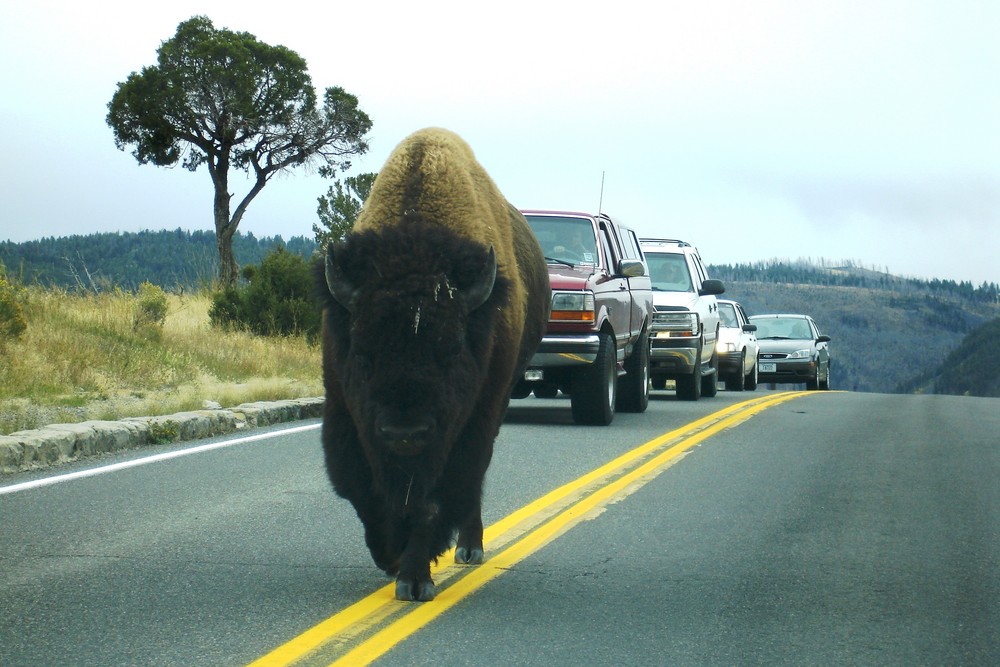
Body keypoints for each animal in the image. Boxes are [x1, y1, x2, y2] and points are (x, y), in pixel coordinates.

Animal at [316, 128, 548, 604]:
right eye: (362, 352)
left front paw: (414, 578)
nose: (405, 432)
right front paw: (390, 557)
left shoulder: (463, 427)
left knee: (474, 478)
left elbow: (431, 501)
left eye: (452, 351)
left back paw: (469, 548)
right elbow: (367, 492)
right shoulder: (346, 414)